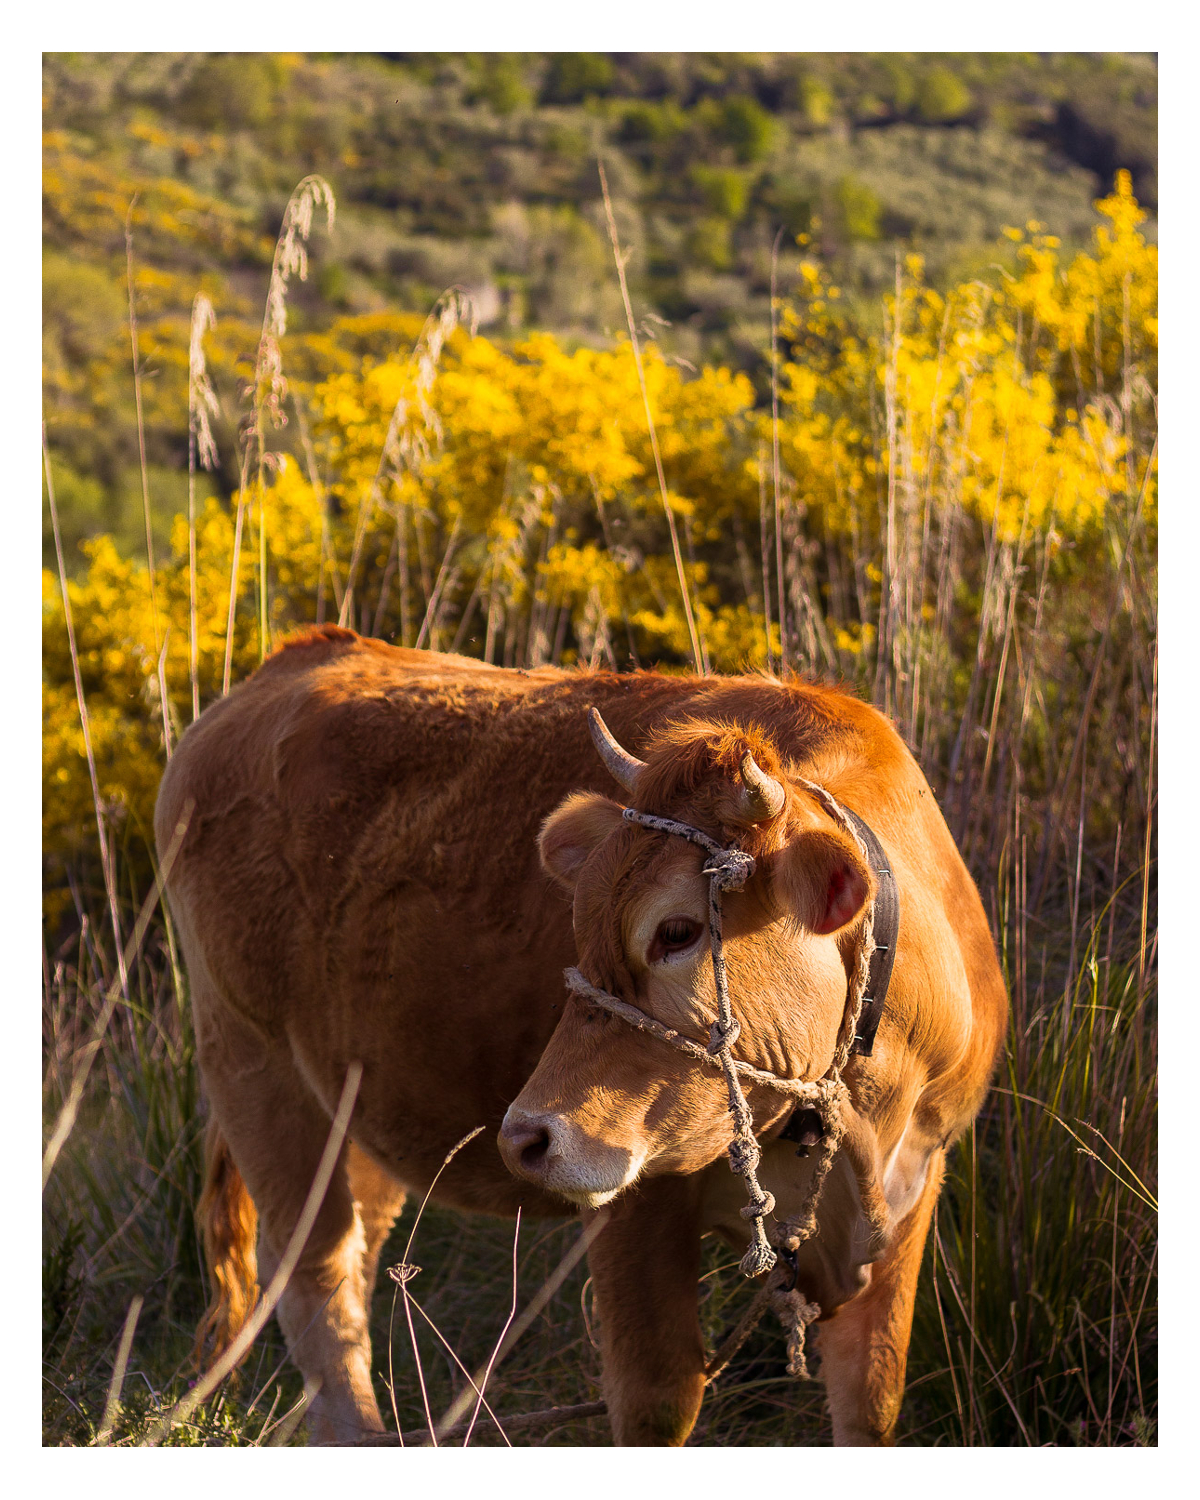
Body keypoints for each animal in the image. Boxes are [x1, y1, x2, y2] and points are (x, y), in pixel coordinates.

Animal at [155, 623, 1007, 1447]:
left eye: (677, 930)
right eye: (578, 920)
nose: (525, 1138)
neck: (849, 1121)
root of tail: (299, 657)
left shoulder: (910, 1193)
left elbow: (871, 1403)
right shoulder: (636, 1202)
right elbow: (657, 1405)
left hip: (357, 1103)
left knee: (354, 1260)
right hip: (250, 1060)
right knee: (313, 1273)